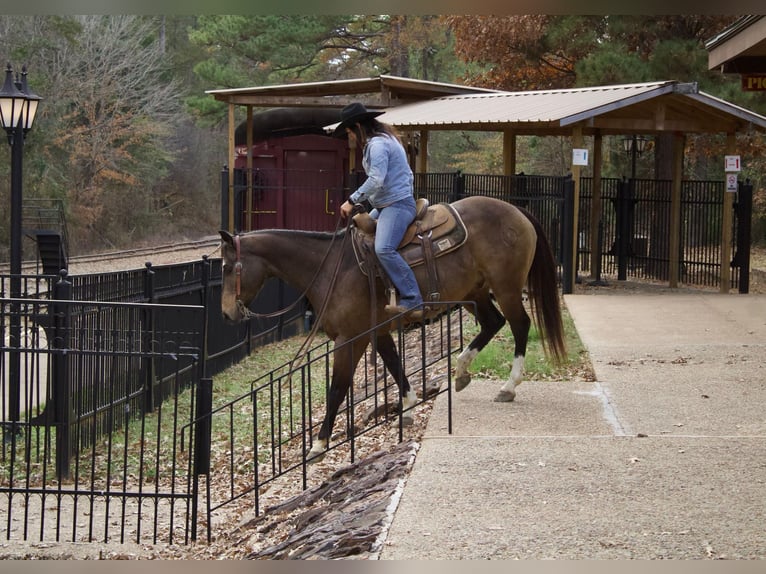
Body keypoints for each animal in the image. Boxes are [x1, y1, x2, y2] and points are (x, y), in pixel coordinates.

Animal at [219, 196, 568, 462]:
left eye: (226, 267)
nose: (225, 313)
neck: (332, 268)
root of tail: (517, 210)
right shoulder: (377, 332)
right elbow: (395, 366)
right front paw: (409, 406)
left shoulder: (350, 339)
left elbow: (337, 389)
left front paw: (318, 445)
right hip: (476, 292)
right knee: (493, 323)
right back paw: (461, 371)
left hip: (506, 287)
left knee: (520, 325)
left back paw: (508, 386)